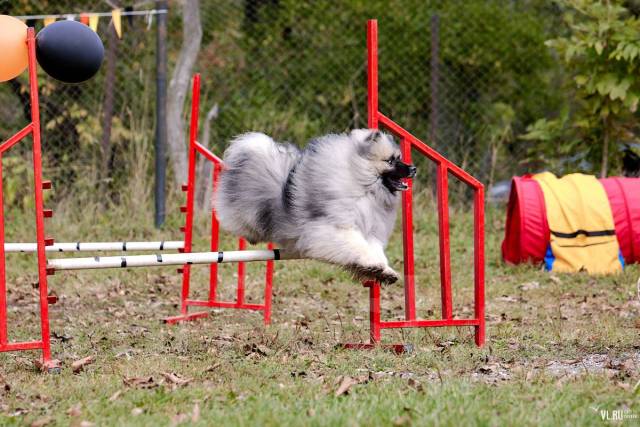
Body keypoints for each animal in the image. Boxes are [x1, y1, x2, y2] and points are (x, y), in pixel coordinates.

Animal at [212, 130, 418, 284]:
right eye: (390, 161)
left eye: (399, 158)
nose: (413, 168)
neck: (363, 186)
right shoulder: (332, 229)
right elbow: (357, 245)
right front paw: (373, 264)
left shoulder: (371, 231)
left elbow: (374, 250)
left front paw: (384, 271)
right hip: (247, 212)